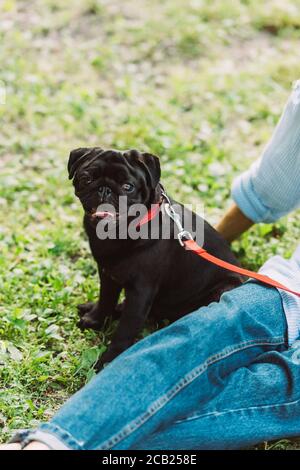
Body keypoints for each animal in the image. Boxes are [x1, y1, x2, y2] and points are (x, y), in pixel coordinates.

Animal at [68, 148, 244, 370]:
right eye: (87, 178)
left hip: (222, 290)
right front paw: (95, 319)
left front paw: (109, 360)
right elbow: (105, 300)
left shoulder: (140, 291)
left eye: (128, 187)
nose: (104, 189)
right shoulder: (108, 275)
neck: (118, 233)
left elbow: (125, 330)